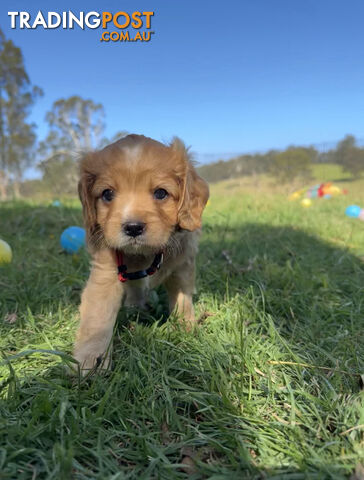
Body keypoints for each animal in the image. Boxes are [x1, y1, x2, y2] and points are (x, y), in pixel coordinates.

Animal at [73, 135, 209, 372]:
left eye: (161, 193)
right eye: (107, 194)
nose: (133, 227)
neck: (145, 255)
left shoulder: (182, 266)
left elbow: (183, 300)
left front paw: (186, 329)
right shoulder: (106, 272)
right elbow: (97, 317)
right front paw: (89, 359)